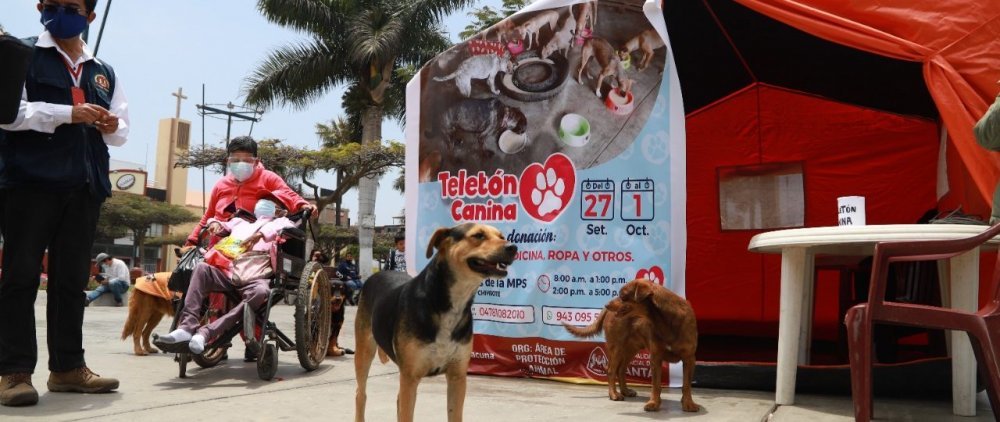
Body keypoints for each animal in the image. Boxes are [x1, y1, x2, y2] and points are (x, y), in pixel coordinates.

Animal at [568, 278, 700, 414]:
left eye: (623, 295)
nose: (606, 304)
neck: (665, 320)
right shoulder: (656, 357)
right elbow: (656, 384)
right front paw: (653, 403)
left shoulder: (689, 358)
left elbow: (686, 385)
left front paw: (688, 403)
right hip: (616, 346)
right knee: (611, 370)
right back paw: (614, 394)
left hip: (631, 349)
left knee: (620, 370)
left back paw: (625, 391)